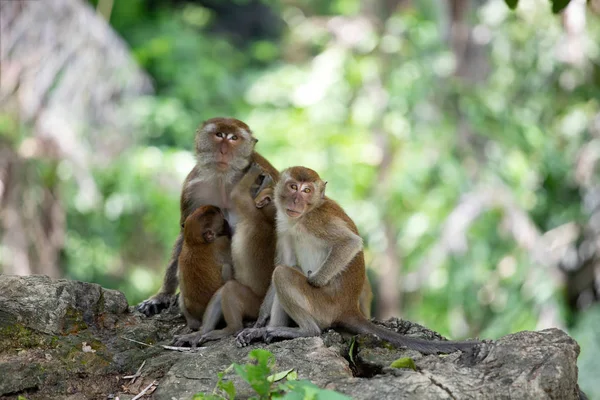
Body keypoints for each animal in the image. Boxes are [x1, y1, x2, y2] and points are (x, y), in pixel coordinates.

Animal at [136, 117, 278, 318]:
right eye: (219, 135)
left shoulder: (264, 177)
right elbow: (186, 232)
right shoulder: (192, 189)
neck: (223, 180)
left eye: (234, 138)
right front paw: (162, 295)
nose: (224, 151)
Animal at [172, 162, 278, 346]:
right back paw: (205, 332)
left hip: (254, 304)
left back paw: (231, 328)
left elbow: (236, 195)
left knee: (229, 288)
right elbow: (237, 194)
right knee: (224, 291)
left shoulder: (245, 213)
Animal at [237, 167, 480, 354]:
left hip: (323, 307)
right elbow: (284, 261)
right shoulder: (284, 227)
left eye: (307, 190)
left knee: (285, 275)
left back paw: (304, 330)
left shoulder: (317, 220)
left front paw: (314, 280)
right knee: (285, 269)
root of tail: (349, 308)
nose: (297, 201)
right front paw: (258, 323)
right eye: (293, 187)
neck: (302, 216)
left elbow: (350, 243)